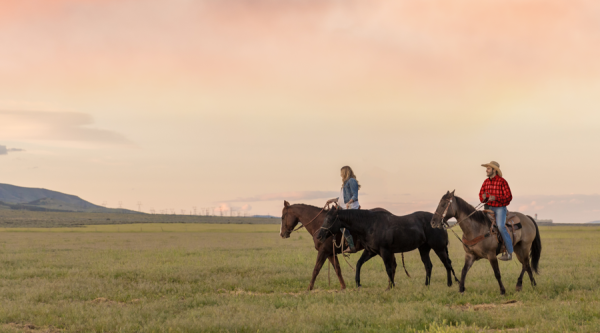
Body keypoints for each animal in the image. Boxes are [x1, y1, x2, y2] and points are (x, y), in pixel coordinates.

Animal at [316, 208, 458, 288]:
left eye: (329, 219)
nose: (319, 235)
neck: (370, 224)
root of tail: (440, 222)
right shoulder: (371, 251)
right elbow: (359, 264)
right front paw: (358, 283)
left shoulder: (385, 251)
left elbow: (389, 269)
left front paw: (391, 287)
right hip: (424, 249)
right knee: (429, 266)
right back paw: (426, 285)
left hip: (439, 248)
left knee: (447, 264)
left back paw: (449, 284)